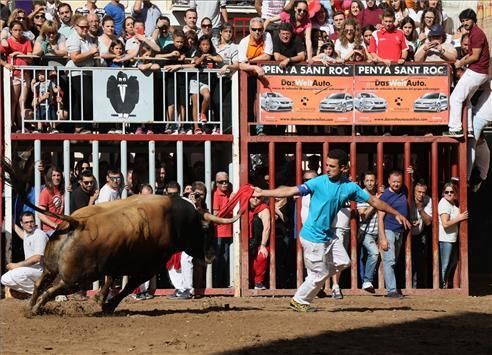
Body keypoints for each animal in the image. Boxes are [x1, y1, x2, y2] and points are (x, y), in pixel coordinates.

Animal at [0, 160, 237, 316]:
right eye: (207, 230)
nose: (212, 256)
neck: (175, 220)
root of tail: (76, 222)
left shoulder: (114, 262)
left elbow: (109, 280)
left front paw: (101, 299)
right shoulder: (148, 267)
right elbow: (128, 286)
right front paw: (108, 305)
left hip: (51, 267)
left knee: (40, 283)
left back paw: (30, 306)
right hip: (75, 279)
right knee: (51, 289)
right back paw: (34, 309)